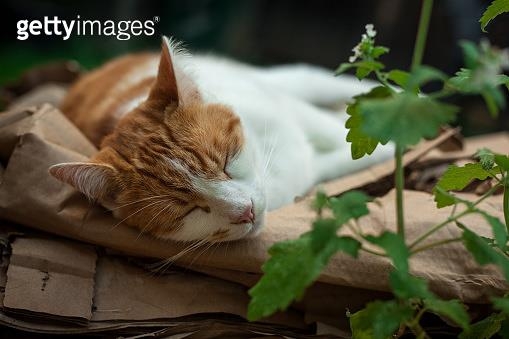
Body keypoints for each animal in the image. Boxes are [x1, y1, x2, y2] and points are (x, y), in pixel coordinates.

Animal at [49, 37, 390, 243]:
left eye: (227, 161)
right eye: (188, 210)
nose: (246, 211)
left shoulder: (290, 112)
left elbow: (350, 134)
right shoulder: (311, 170)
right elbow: (350, 155)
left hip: (276, 82)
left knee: (314, 80)